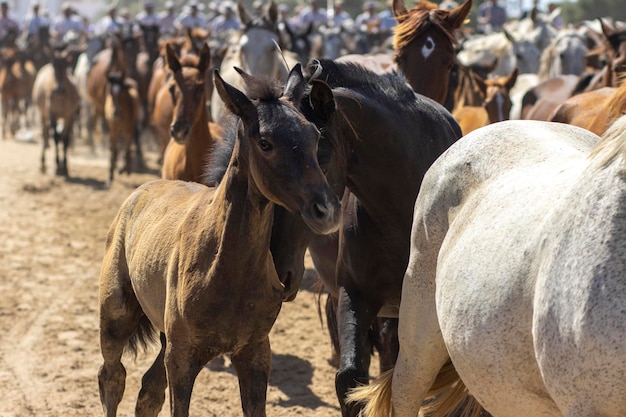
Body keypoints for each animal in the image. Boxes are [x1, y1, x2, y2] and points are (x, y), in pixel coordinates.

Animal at [98, 65, 342, 416]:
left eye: (315, 136)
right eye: (265, 142)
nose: (327, 209)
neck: (226, 266)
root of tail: (140, 192)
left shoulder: (254, 353)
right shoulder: (182, 357)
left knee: (149, 391)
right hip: (116, 316)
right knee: (112, 378)